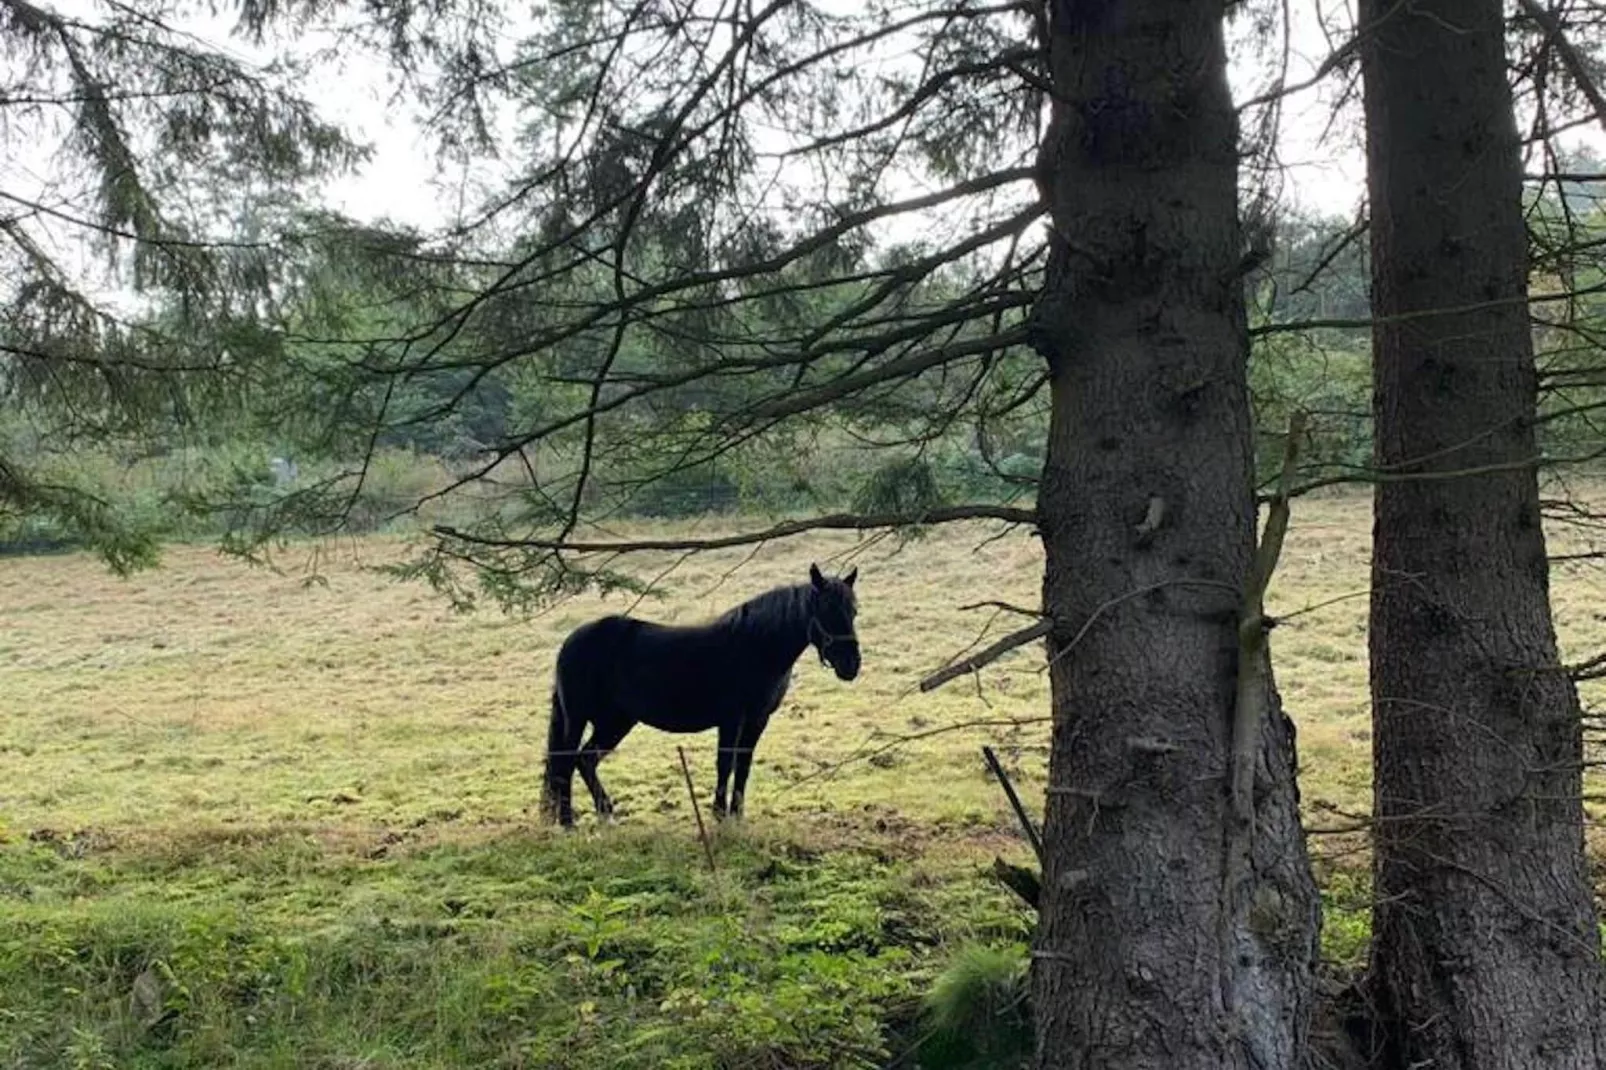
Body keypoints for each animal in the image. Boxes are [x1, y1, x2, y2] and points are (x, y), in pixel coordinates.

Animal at [542, 559, 867, 822]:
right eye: (825, 610)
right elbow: (725, 764)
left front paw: (737, 816)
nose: (850, 665)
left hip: (616, 721)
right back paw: (569, 823)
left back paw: (606, 814)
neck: (756, 647)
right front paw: (720, 816)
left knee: (584, 760)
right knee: (565, 764)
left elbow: (743, 766)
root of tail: (571, 640)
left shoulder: (757, 721)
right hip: (578, 718)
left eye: (853, 611)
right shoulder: (732, 720)